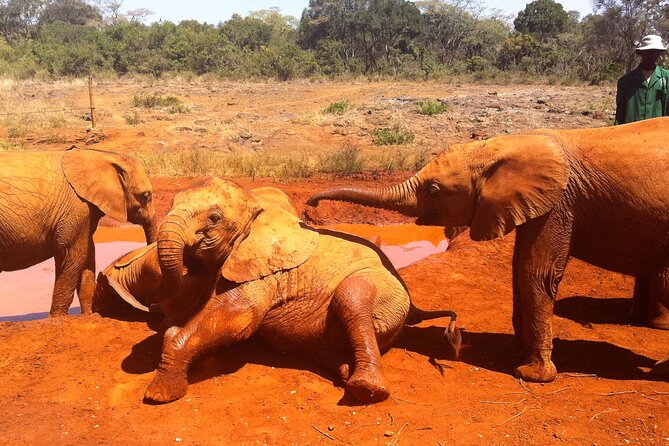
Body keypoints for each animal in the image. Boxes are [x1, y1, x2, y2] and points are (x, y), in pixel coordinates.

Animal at [0, 146, 156, 316]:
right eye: (145, 196)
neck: (99, 155)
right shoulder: (76, 208)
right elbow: (74, 254)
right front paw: (57, 318)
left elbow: (88, 255)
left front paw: (89, 315)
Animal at [143, 177, 460, 404]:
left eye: (214, 218)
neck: (256, 203)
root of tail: (414, 309)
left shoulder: (270, 271)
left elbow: (239, 319)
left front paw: (159, 394)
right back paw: (345, 368)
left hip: (383, 291)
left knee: (353, 297)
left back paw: (366, 388)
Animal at [306, 117, 669, 383]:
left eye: (434, 189)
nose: (310, 207)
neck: (505, 144)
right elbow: (519, 266)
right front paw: (514, 349)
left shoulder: (560, 203)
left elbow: (536, 272)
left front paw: (531, 374)